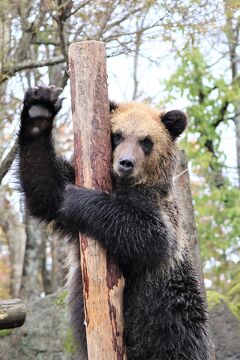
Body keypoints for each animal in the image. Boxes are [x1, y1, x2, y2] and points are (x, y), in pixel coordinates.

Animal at [18, 86, 210, 358]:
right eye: (117, 135)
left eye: (146, 141)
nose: (125, 163)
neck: (124, 185)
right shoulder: (66, 183)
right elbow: (46, 187)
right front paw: (39, 108)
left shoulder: (162, 214)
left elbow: (150, 236)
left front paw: (78, 197)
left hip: (171, 317)